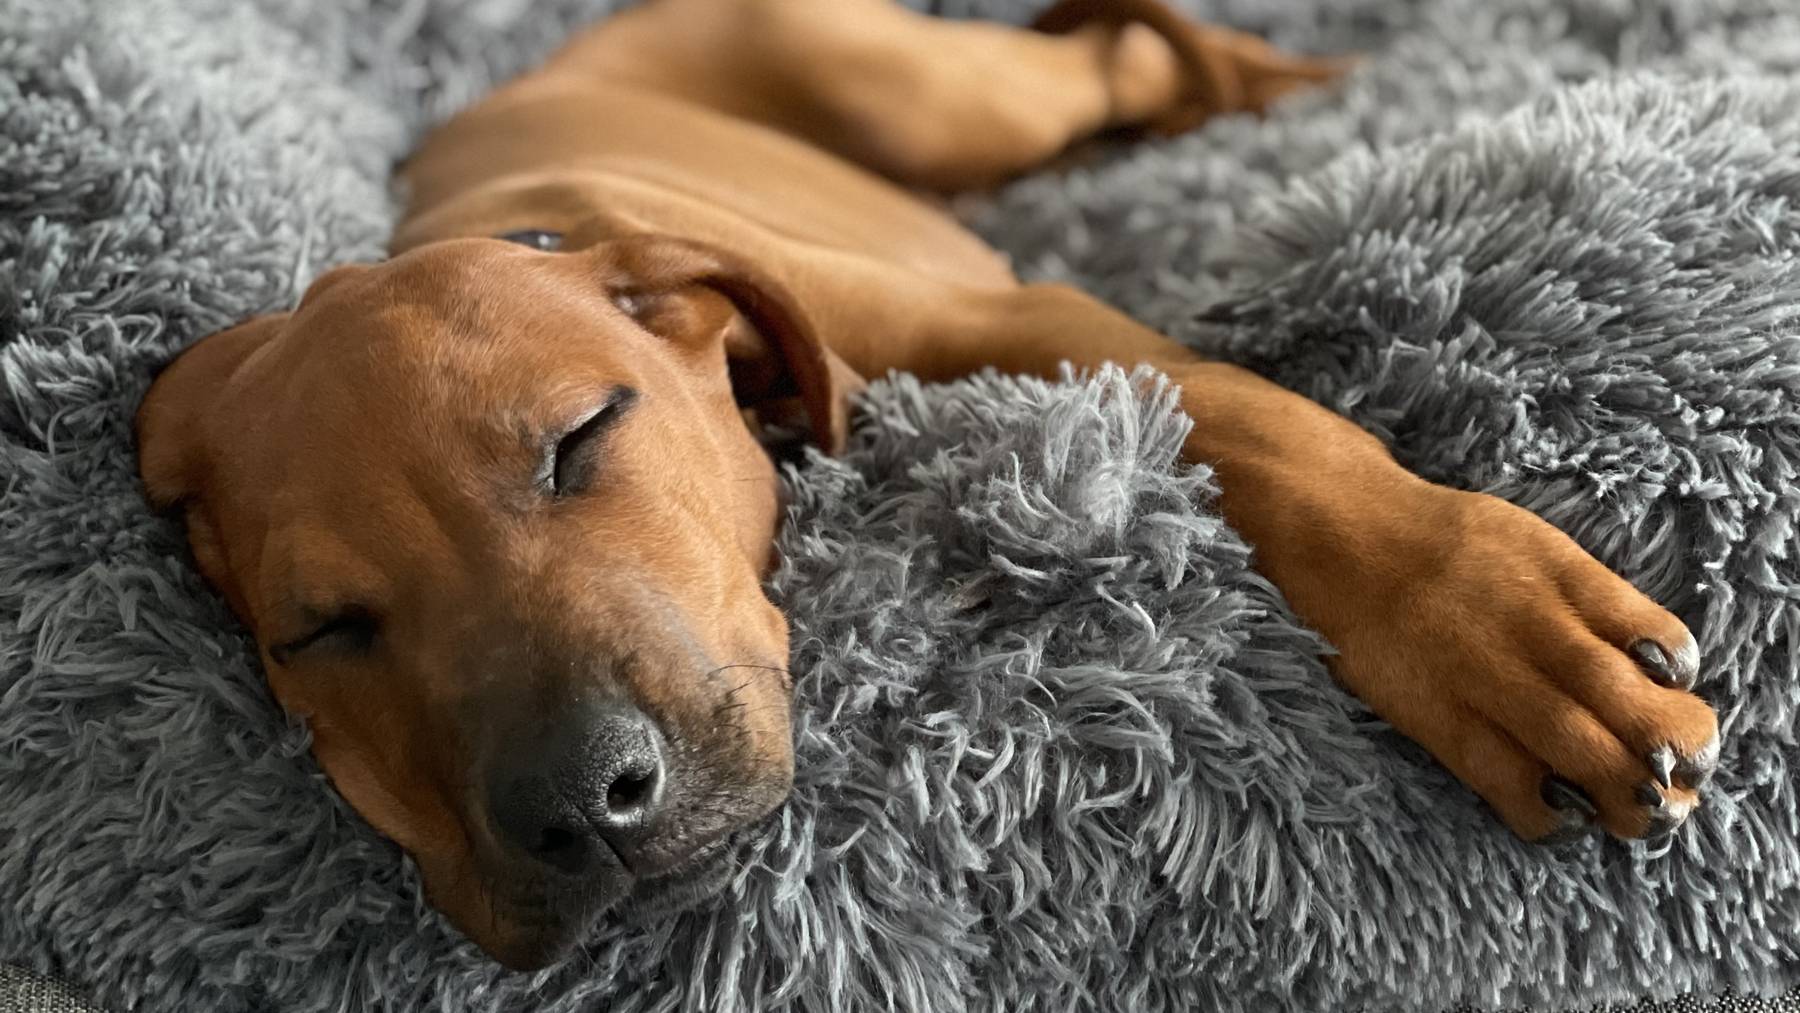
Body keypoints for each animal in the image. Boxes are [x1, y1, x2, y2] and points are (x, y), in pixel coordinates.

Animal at [135, 0, 1721, 971]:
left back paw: (1274, 81)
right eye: (320, 634)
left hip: (931, 98)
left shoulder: (1021, 322)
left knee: (1111, 61)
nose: (585, 805)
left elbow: (1271, 434)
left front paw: (1497, 631)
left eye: (581, 438)